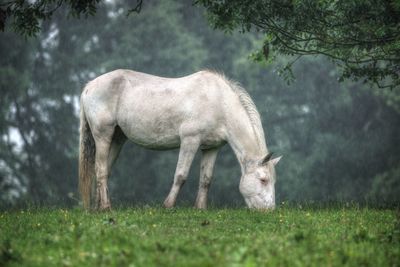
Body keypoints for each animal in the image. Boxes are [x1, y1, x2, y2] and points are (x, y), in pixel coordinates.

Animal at [79, 69, 282, 211]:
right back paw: (106, 208)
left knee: (104, 170)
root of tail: (89, 86)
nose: (268, 210)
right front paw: (168, 205)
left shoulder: (211, 148)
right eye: (263, 180)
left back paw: (99, 207)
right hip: (103, 136)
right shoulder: (190, 141)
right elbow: (181, 175)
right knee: (100, 169)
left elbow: (206, 179)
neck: (218, 102)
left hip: (117, 139)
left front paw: (200, 208)